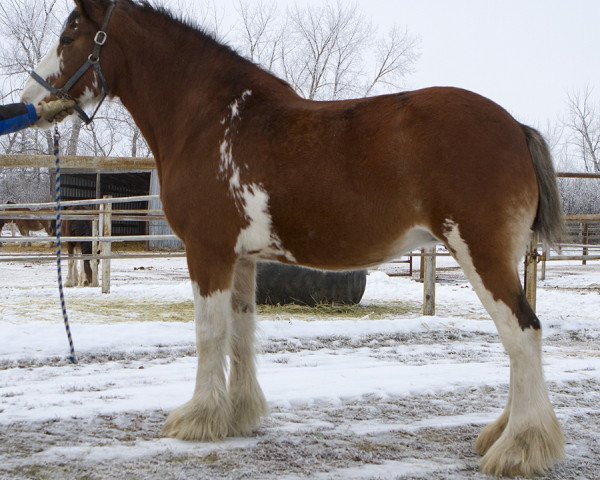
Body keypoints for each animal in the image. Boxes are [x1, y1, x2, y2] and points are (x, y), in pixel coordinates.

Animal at [21, 0, 568, 476]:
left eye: (69, 36)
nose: (30, 101)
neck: (210, 120)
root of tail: (515, 128)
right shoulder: (242, 258)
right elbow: (241, 331)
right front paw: (238, 416)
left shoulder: (207, 252)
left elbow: (209, 333)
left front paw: (197, 418)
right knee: (520, 337)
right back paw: (503, 434)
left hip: (480, 253)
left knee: (522, 332)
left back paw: (518, 448)